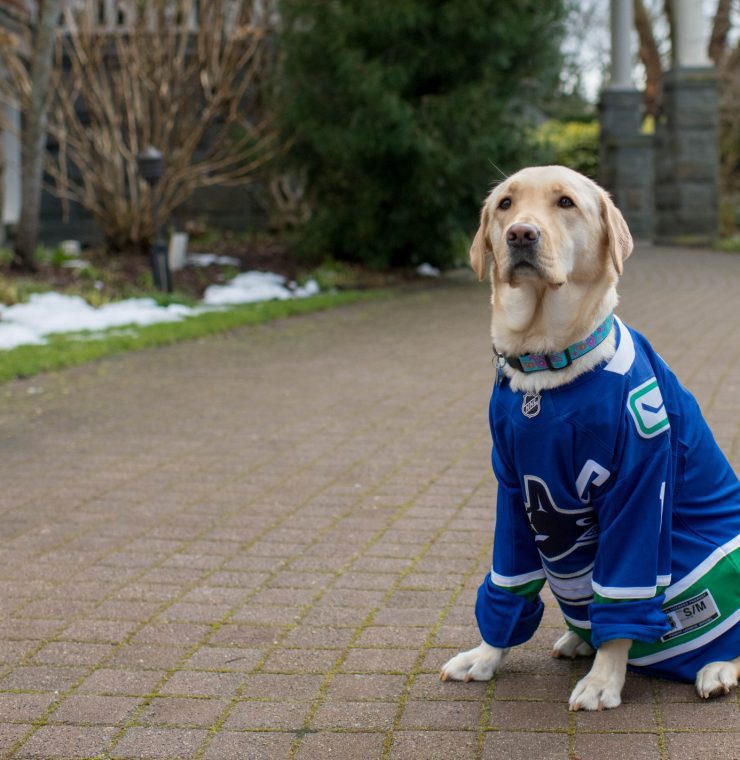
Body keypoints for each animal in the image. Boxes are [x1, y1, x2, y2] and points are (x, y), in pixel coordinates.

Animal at [442, 166, 736, 712]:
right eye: (506, 204)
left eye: (565, 203)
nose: (521, 235)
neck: (545, 368)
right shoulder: (513, 492)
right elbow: (510, 583)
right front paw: (486, 656)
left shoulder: (639, 488)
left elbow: (622, 592)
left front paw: (604, 680)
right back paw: (579, 639)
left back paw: (717, 667)